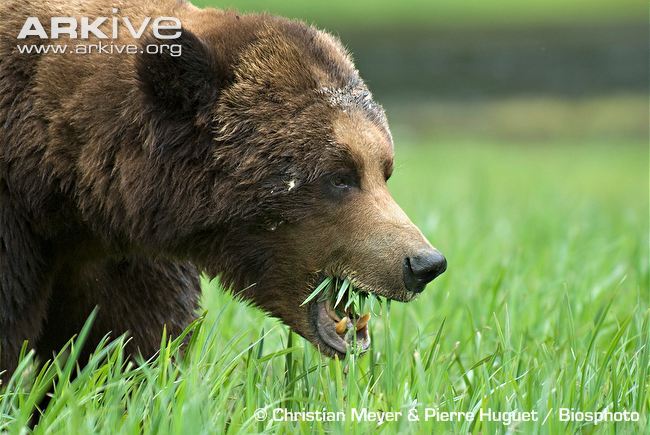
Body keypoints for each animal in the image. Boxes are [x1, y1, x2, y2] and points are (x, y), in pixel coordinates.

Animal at [0, 0, 446, 382]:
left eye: (384, 168)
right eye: (340, 176)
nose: (423, 263)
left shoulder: (120, 255)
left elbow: (127, 340)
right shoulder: (18, 228)